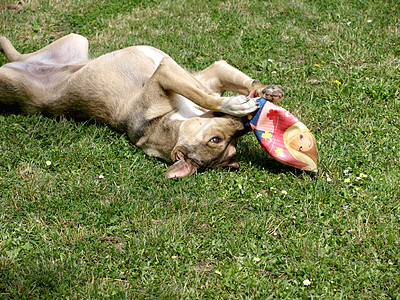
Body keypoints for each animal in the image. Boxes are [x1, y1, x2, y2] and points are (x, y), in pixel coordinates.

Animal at [0, 33, 284, 178]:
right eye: (216, 140)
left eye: (233, 148)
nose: (245, 125)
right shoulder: (168, 72)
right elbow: (205, 94)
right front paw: (237, 105)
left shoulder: (210, 73)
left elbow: (238, 83)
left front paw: (266, 91)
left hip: (75, 41)